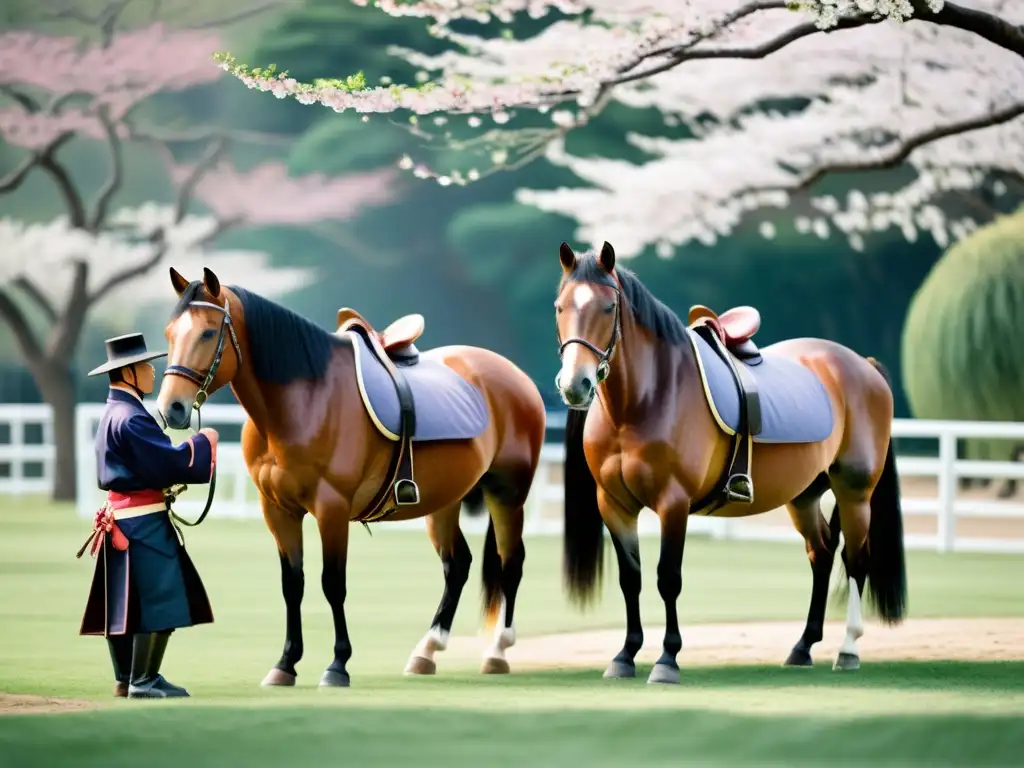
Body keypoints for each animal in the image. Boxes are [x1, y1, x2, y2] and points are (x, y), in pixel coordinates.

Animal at [154, 268, 548, 688]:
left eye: (208, 333)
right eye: (169, 333)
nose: (171, 407)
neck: (304, 401)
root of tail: (513, 375)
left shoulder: (332, 508)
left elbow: (333, 584)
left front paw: (337, 665)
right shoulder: (277, 511)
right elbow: (292, 585)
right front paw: (285, 663)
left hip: (507, 493)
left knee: (511, 562)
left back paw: (497, 651)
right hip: (444, 501)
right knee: (456, 565)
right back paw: (427, 651)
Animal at [557, 241, 909, 684]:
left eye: (607, 307)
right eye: (559, 307)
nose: (575, 384)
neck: (648, 397)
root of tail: (864, 366)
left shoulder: (673, 504)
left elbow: (667, 578)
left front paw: (667, 659)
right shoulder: (614, 505)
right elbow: (630, 578)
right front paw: (625, 655)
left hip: (855, 492)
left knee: (855, 561)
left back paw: (847, 650)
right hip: (805, 496)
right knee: (822, 554)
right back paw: (803, 646)